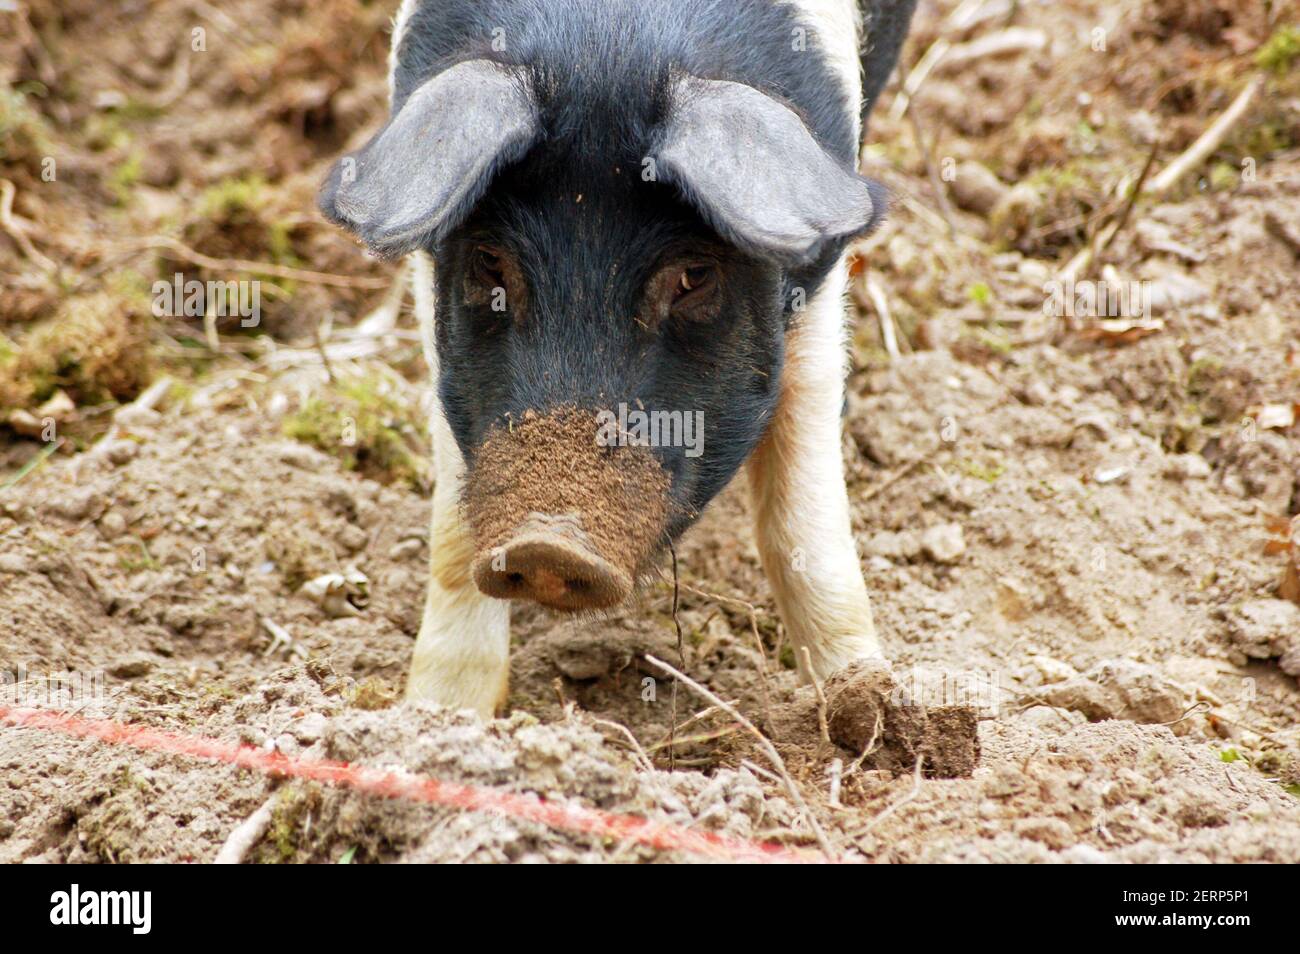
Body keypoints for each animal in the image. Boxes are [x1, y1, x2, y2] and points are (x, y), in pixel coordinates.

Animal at [319, 0, 920, 717]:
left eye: (692, 276)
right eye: (491, 262)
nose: (549, 543)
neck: (607, 43)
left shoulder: (818, 287)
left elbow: (803, 523)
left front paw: (868, 702)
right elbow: (454, 527)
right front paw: (440, 715)